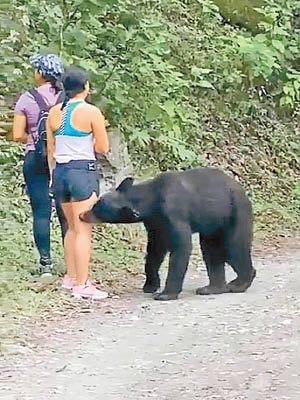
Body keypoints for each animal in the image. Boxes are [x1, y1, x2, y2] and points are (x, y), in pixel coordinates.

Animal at [81, 167, 256, 302]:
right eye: (96, 204)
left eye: (97, 210)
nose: (81, 215)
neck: (151, 199)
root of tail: (242, 190)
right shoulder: (155, 223)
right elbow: (155, 250)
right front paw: (150, 285)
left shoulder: (173, 212)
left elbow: (181, 246)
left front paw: (165, 294)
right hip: (213, 224)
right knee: (211, 251)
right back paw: (211, 288)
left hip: (235, 213)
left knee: (234, 247)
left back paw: (239, 283)